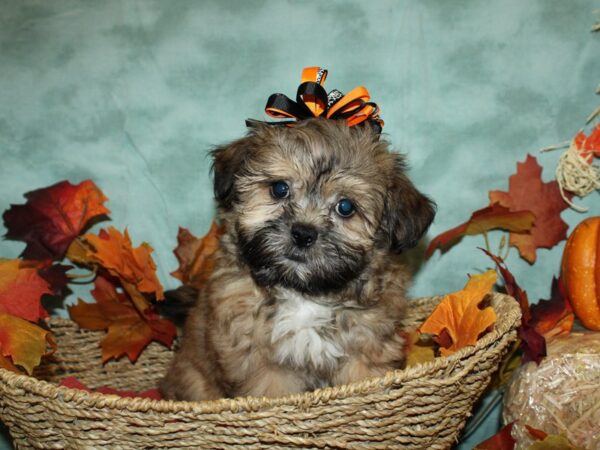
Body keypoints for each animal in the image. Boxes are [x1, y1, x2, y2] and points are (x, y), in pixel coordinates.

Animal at [159, 119, 434, 400]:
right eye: (280, 189)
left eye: (345, 207)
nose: (303, 233)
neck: (304, 292)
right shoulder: (262, 364)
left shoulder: (366, 348)